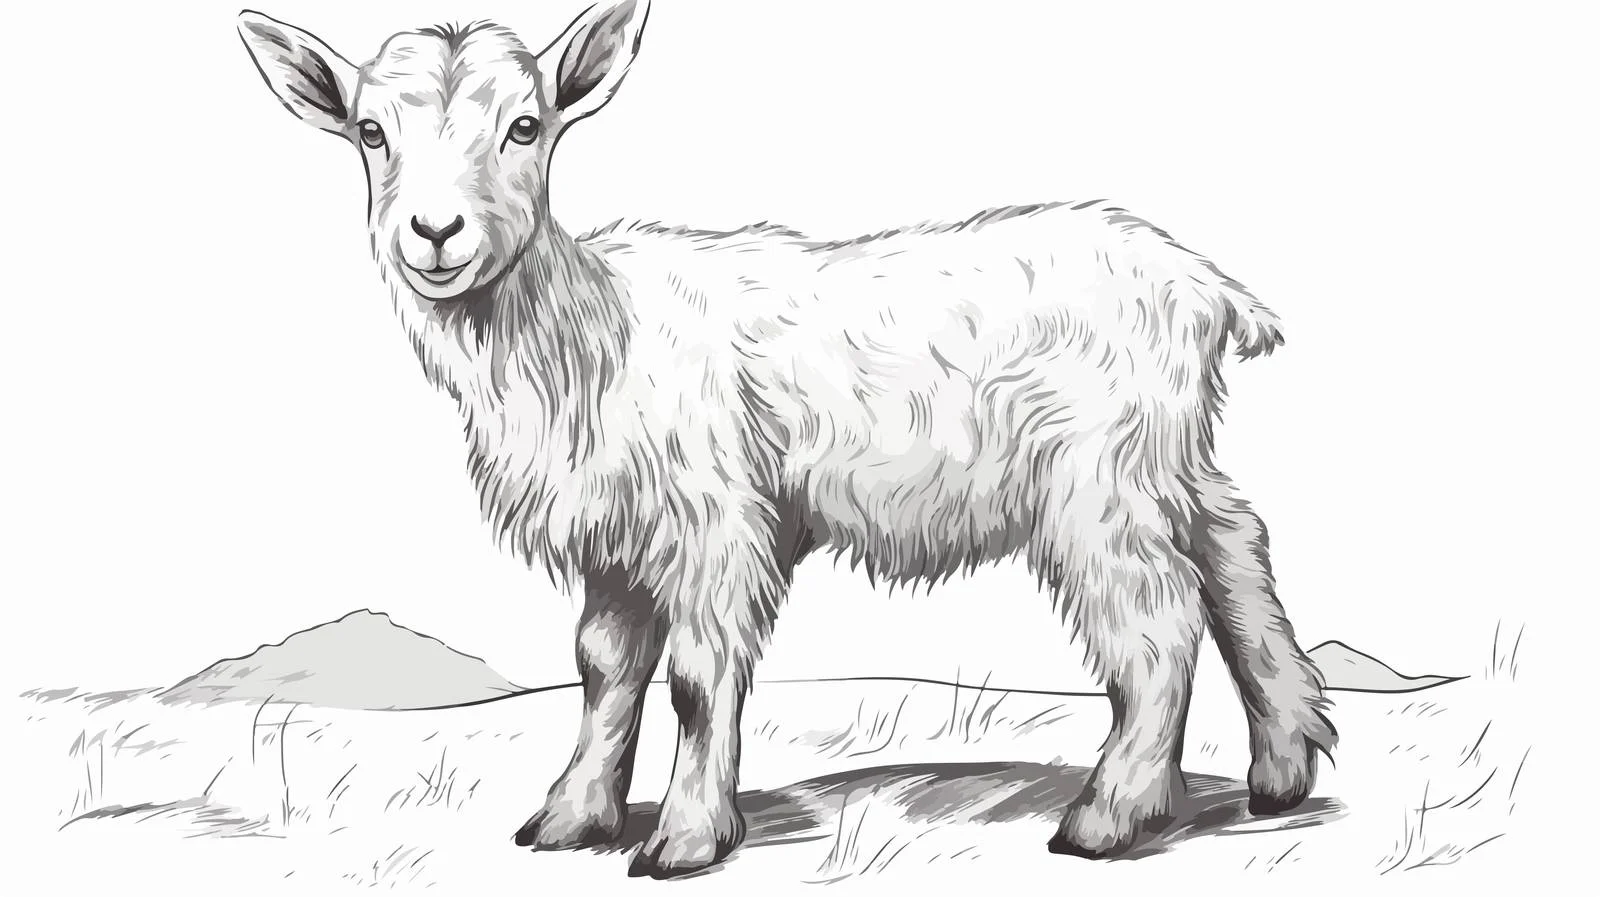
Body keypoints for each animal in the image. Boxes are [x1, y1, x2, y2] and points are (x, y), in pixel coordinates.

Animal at [239, 0, 1336, 879]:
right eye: (370, 132)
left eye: (525, 126)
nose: (433, 232)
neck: (583, 329)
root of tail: (1202, 285)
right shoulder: (617, 537)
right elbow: (603, 669)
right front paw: (572, 815)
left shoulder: (713, 517)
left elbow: (693, 678)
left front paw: (684, 837)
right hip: (1163, 455)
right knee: (1234, 545)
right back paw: (1283, 762)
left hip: (1095, 475)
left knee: (1155, 624)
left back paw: (1112, 815)